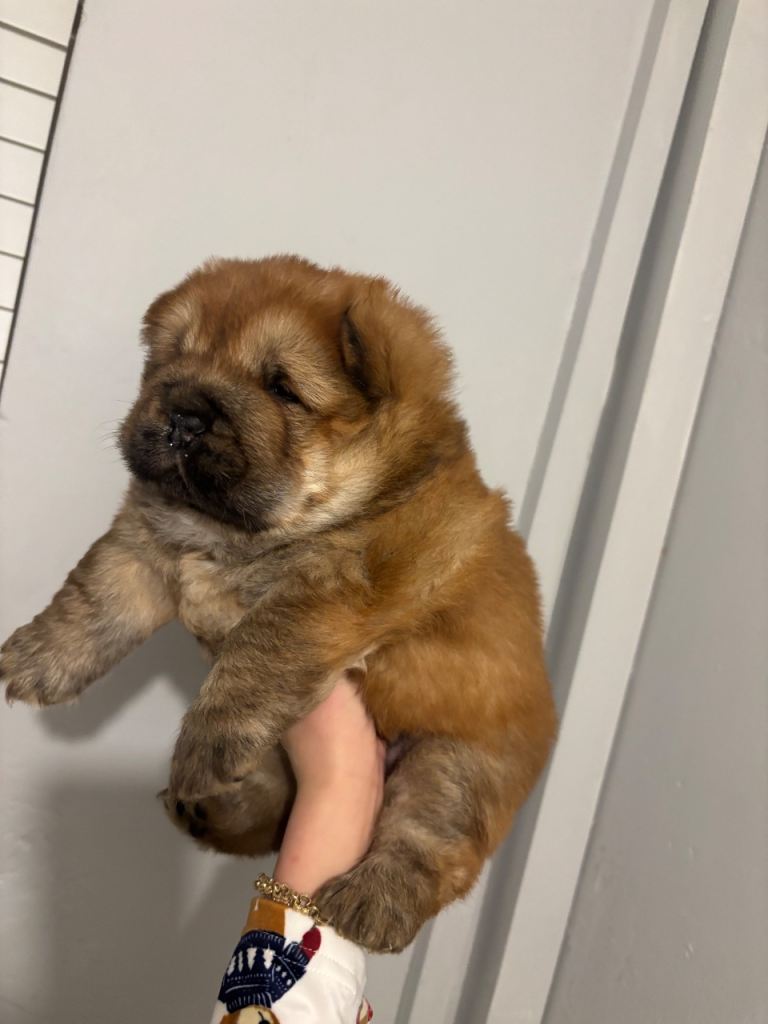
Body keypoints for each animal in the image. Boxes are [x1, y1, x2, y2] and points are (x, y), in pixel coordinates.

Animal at [0, 255, 556, 951]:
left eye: (282, 388)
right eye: (170, 360)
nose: (184, 413)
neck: (237, 535)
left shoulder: (330, 593)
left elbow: (259, 654)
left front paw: (203, 746)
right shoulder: (143, 543)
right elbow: (92, 598)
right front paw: (30, 660)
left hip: (458, 761)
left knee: (430, 841)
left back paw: (367, 902)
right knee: (276, 808)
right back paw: (209, 808)